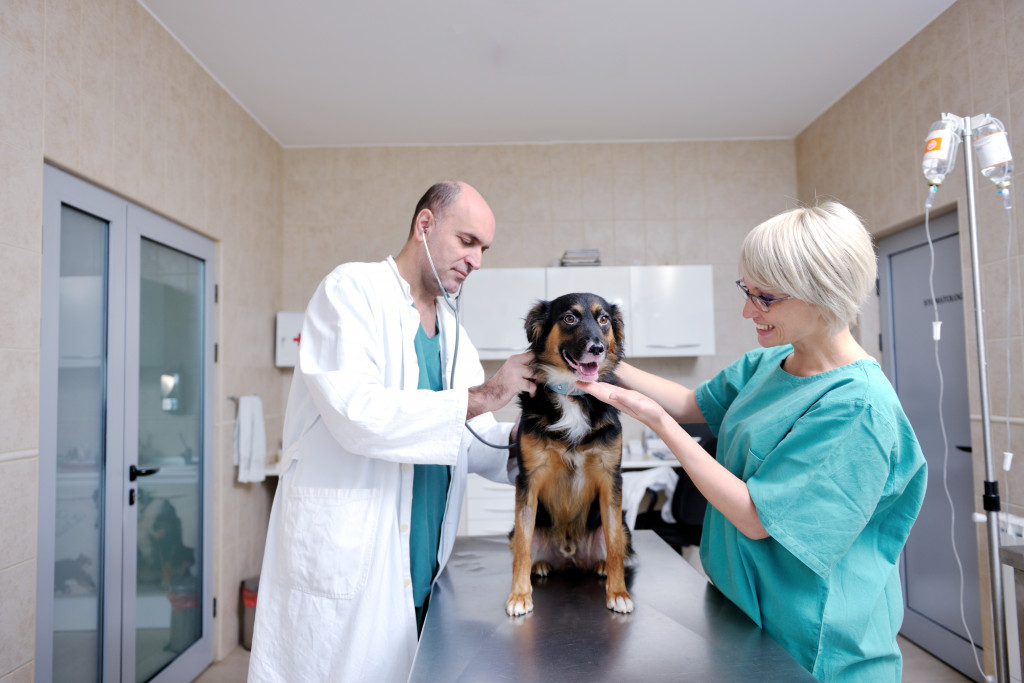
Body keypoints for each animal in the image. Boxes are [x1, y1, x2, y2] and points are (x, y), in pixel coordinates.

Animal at [503, 290, 630, 618]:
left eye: (603, 319)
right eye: (570, 318)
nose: (597, 348)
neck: (573, 395)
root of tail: (569, 554)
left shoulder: (611, 479)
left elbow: (614, 544)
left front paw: (618, 592)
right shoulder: (528, 479)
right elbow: (523, 546)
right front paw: (519, 595)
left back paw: (600, 565)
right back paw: (541, 565)